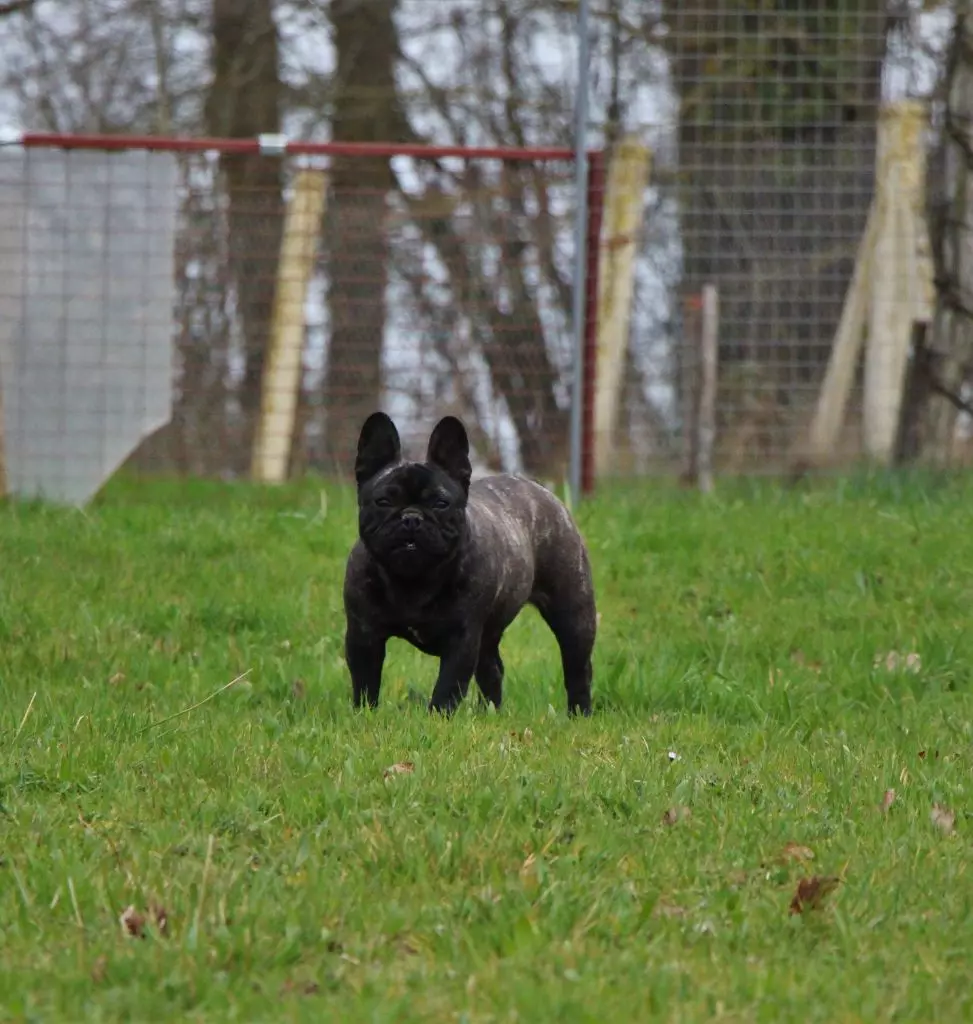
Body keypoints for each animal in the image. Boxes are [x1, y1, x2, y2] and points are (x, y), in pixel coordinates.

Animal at [342, 411, 602, 716]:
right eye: (383, 501)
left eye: (441, 503)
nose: (412, 517)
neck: (413, 579)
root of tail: (539, 487)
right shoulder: (363, 636)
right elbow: (365, 681)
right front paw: (364, 713)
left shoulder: (462, 639)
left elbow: (447, 685)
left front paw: (438, 717)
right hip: (489, 634)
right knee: (492, 669)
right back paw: (491, 712)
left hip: (574, 614)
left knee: (578, 668)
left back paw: (579, 713)